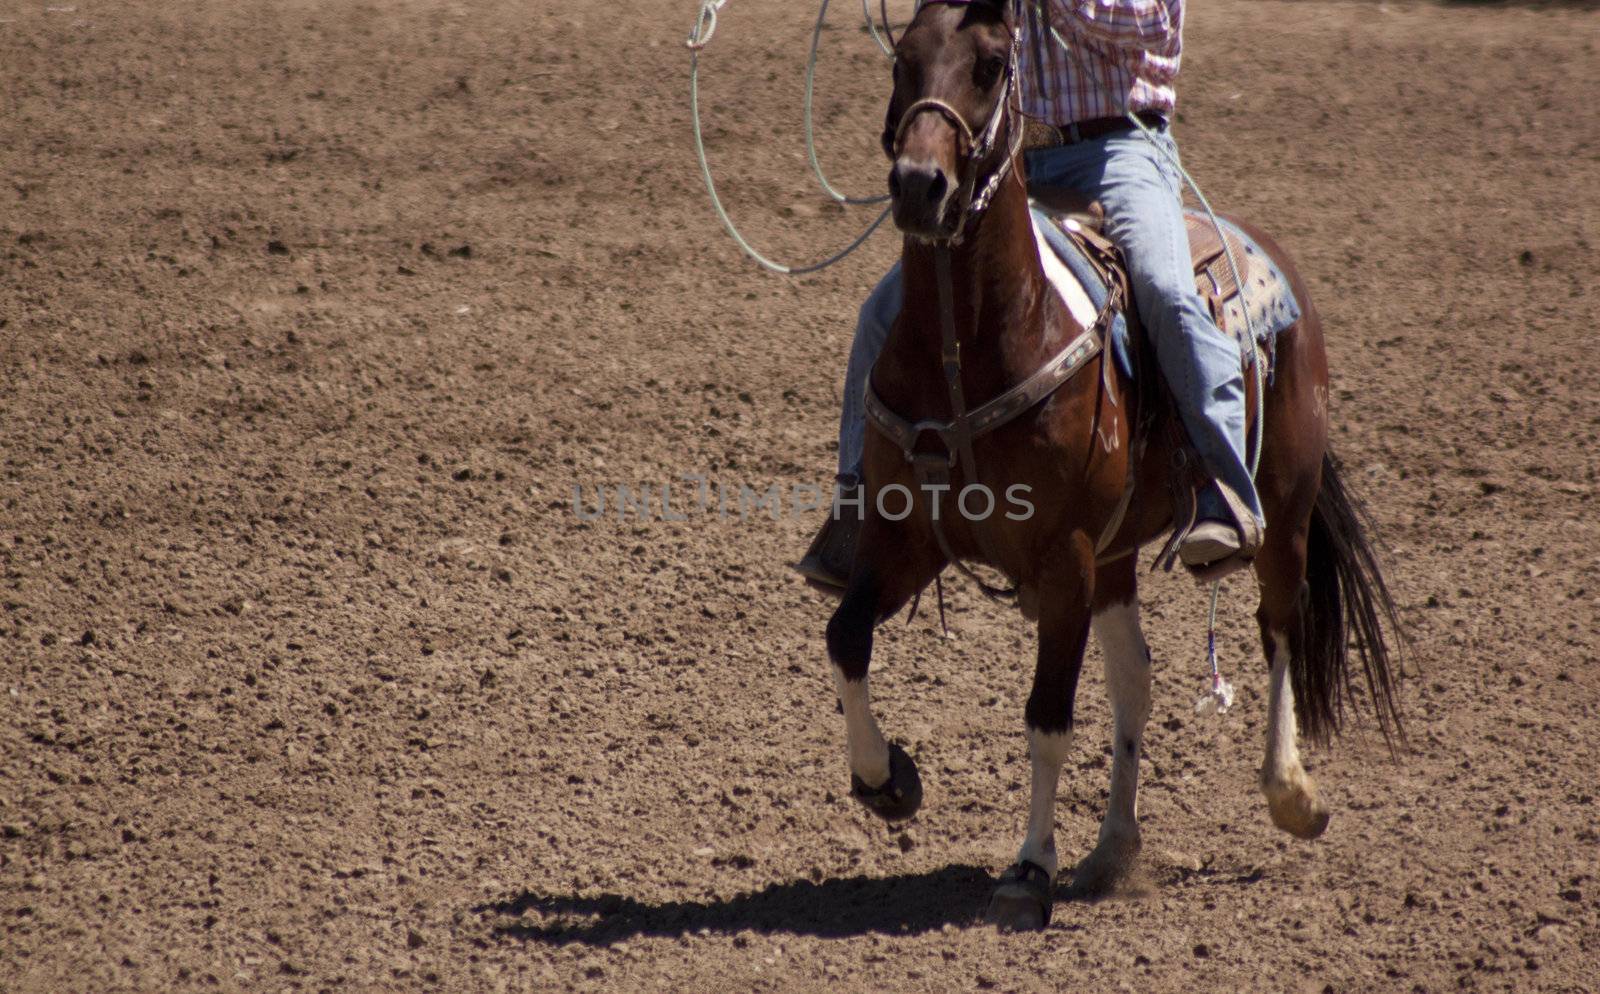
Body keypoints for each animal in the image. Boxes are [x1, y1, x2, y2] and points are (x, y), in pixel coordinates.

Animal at [825, 1, 1401, 928]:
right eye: (901, 59)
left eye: (991, 65)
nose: (919, 185)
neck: (971, 344)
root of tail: (1273, 261)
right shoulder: (904, 536)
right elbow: (845, 638)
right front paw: (887, 781)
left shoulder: (1063, 559)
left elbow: (1048, 717)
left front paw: (1027, 869)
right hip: (1120, 553)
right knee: (1136, 679)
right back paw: (1112, 850)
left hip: (1278, 504)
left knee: (1278, 622)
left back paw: (1291, 795)